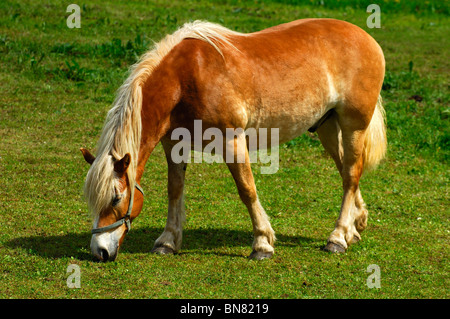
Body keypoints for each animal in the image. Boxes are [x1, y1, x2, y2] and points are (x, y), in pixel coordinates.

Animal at [81, 18, 386, 262]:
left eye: (116, 198)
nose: (100, 251)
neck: (185, 78)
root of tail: (365, 37)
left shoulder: (232, 141)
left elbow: (247, 190)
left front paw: (262, 243)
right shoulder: (174, 145)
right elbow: (175, 190)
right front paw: (168, 241)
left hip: (353, 126)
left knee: (351, 174)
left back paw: (337, 237)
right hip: (326, 127)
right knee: (348, 172)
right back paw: (354, 226)